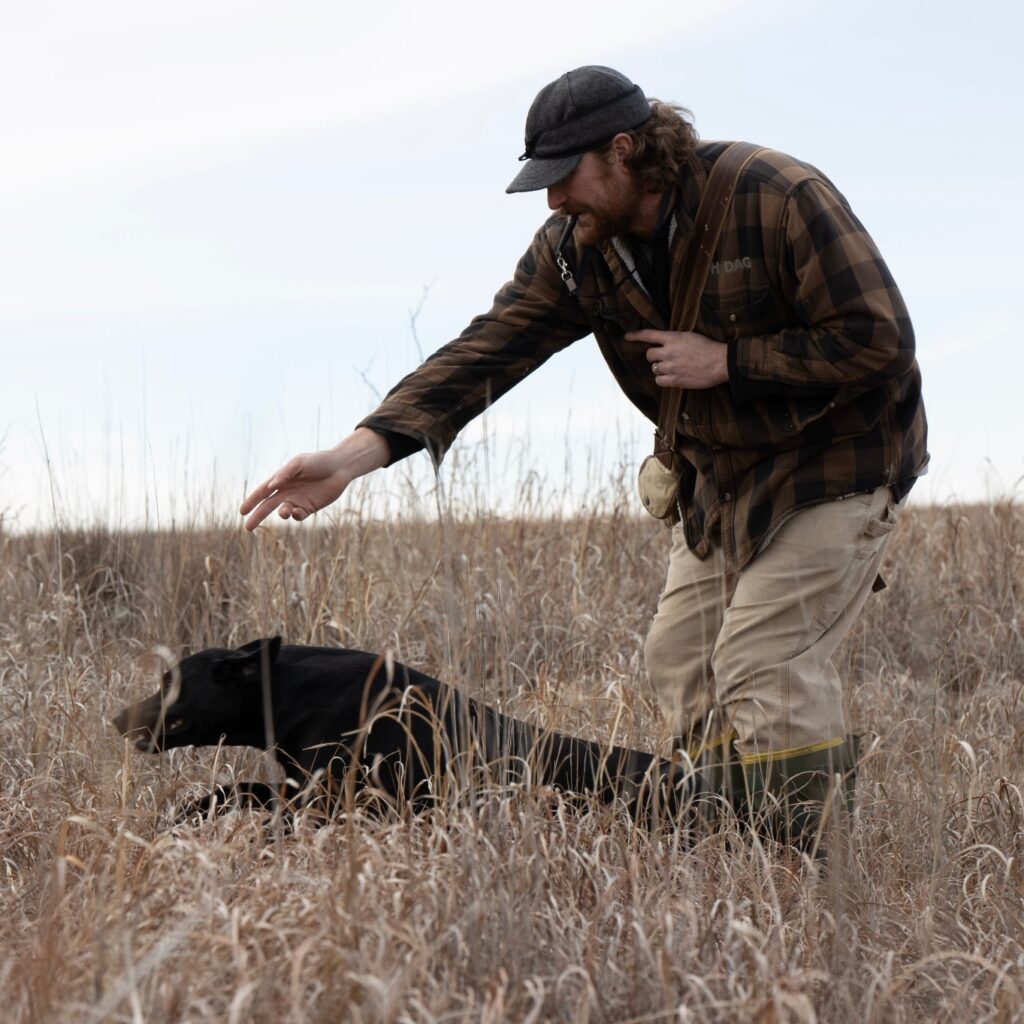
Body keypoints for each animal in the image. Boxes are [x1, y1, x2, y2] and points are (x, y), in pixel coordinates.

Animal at [108, 634, 708, 827]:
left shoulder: (335, 801)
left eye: (170, 682)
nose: (116, 719)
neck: (290, 693)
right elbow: (234, 790)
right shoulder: (304, 789)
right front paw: (181, 819)